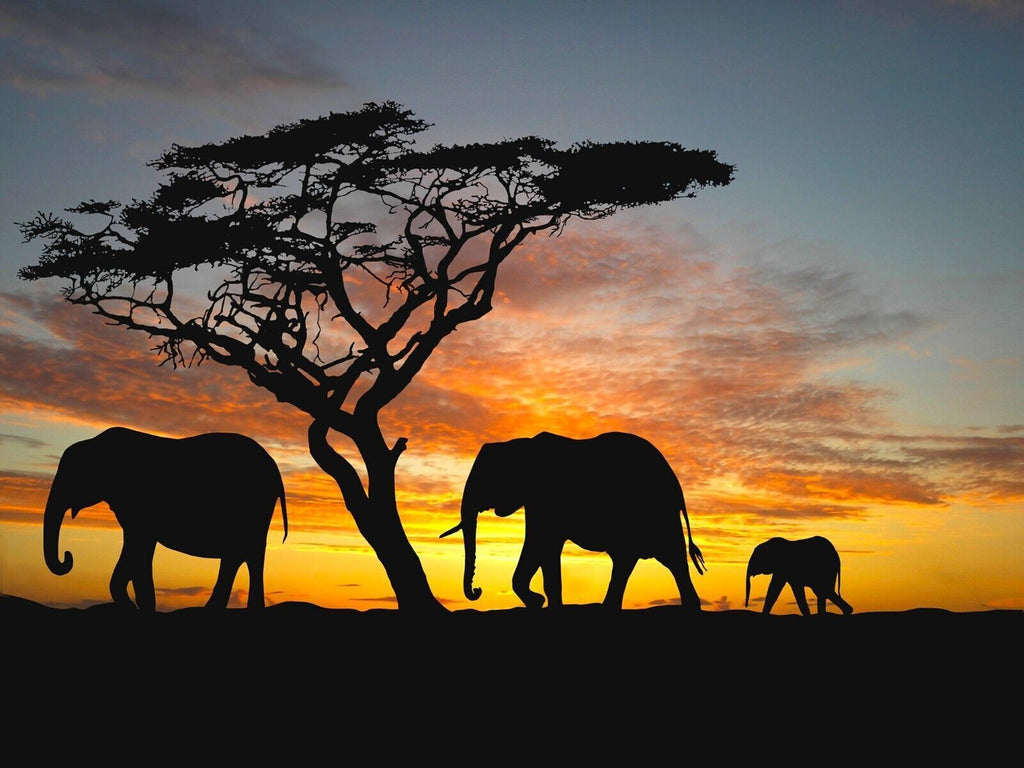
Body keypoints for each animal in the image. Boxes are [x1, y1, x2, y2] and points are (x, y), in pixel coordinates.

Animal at [43, 426, 288, 611]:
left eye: (71, 476)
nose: (68, 557)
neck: (95, 443)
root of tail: (274, 468)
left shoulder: (138, 504)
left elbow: (138, 547)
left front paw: (138, 607)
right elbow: (137, 549)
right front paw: (136, 606)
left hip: (252, 507)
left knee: (245, 554)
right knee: (242, 555)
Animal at [439, 431, 706, 611]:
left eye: (485, 479)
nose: (477, 590)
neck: (520, 444)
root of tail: (675, 482)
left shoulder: (546, 499)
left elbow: (541, 543)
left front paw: (540, 602)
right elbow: (542, 549)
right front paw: (541, 603)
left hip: (656, 513)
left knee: (670, 558)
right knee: (631, 560)